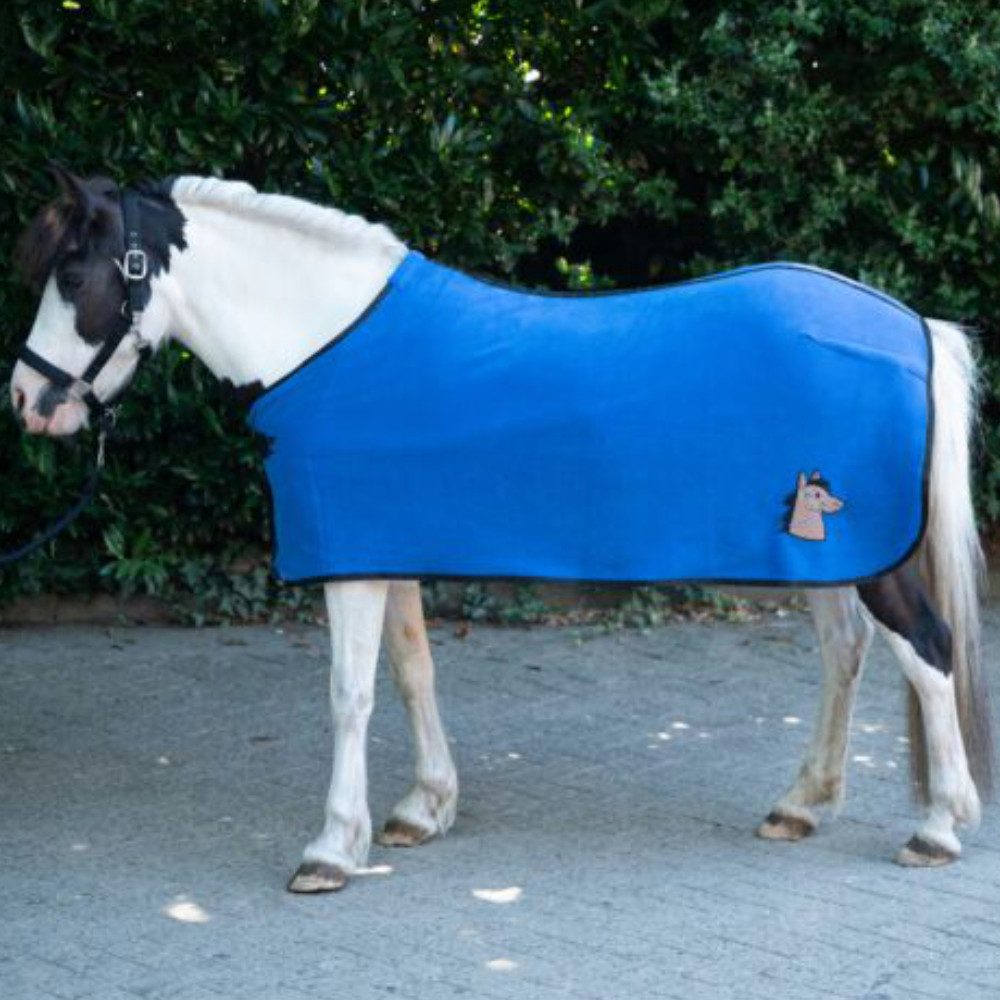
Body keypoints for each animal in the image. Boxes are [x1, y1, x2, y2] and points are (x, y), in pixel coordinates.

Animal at [8, 166, 993, 893]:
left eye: (73, 277)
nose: (28, 403)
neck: (326, 342)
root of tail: (912, 323)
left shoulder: (350, 562)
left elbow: (349, 695)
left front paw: (331, 848)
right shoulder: (384, 544)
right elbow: (412, 673)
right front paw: (423, 809)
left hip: (867, 556)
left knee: (929, 651)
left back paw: (937, 827)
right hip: (820, 552)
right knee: (846, 652)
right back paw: (801, 803)